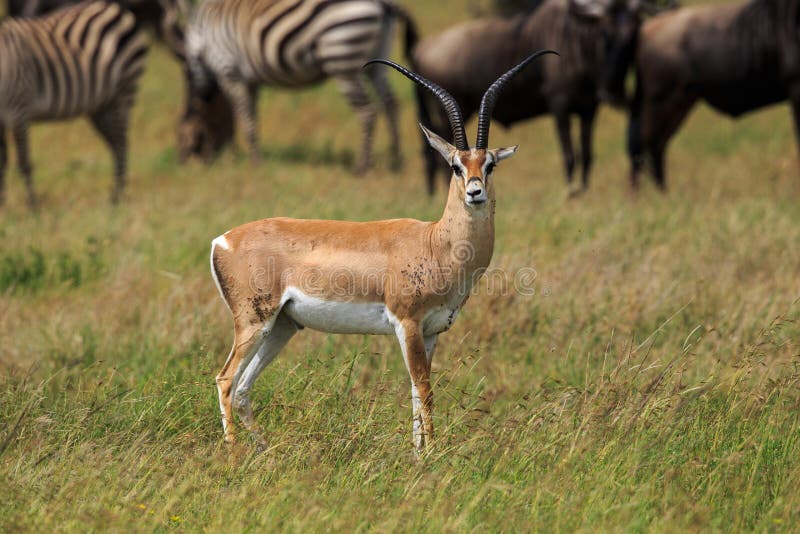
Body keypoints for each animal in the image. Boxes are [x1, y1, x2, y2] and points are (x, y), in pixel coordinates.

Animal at [0, 1, 148, 207]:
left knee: (122, 144)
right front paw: (3, 203)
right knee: (115, 145)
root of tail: (113, 8)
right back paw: (115, 195)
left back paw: (118, 197)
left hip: (125, 91)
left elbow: (24, 162)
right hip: (101, 106)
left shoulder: (18, 109)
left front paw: (34, 206)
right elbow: (2, 161)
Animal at [180, 0, 418, 174]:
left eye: (189, 136)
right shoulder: (250, 81)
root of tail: (385, 4)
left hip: (342, 56)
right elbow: (250, 117)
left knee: (367, 111)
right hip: (376, 62)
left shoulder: (230, 71)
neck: (202, 31)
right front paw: (245, 156)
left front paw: (253, 163)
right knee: (391, 104)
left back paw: (362, 167)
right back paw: (396, 161)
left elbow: (245, 118)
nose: (187, 163)